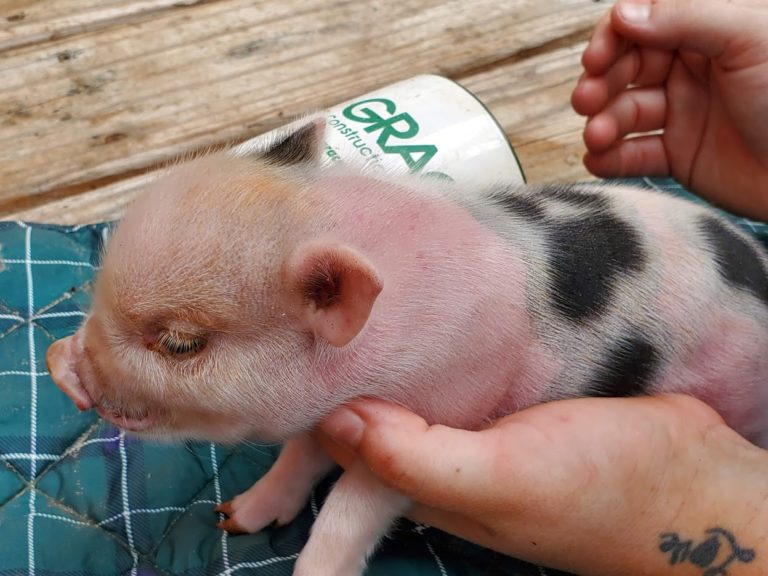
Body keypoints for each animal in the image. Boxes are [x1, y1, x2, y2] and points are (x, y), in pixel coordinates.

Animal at [46, 118, 768, 576]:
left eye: (180, 343)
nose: (58, 364)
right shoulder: (325, 413)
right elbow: (298, 460)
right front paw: (235, 519)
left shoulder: (441, 409)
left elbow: (349, 511)